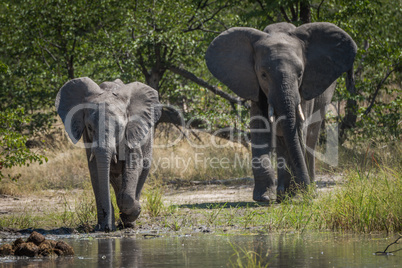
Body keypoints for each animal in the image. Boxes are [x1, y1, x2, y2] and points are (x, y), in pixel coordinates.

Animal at [55, 77, 162, 230]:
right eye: (89, 127)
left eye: (120, 128)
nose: (106, 229)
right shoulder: (88, 139)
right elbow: (95, 171)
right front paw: (103, 227)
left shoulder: (131, 133)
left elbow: (134, 164)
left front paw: (132, 213)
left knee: (142, 171)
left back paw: (129, 222)